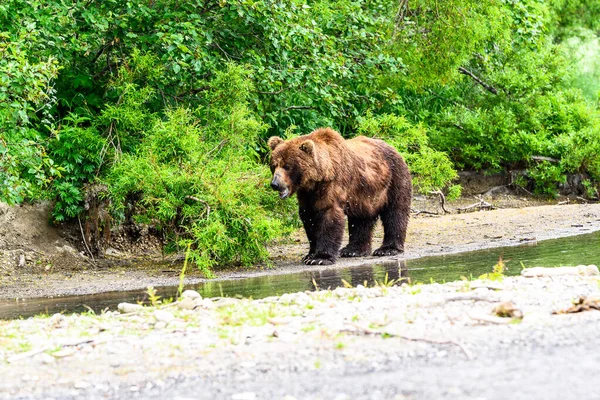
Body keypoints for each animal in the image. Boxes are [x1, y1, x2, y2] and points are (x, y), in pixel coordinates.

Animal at [268, 129, 412, 266]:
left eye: (287, 166)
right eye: (274, 165)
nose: (275, 184)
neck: (317, 179)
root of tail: (394, 148)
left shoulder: (333, 185)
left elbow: (330, 216)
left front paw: (320, 258)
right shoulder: (307, 195)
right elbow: (309, 219)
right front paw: (310, 255)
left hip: (394, 179)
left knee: (395, 212)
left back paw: (387, 249)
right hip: (364, 193)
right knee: (361, 219)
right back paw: (353, 250)